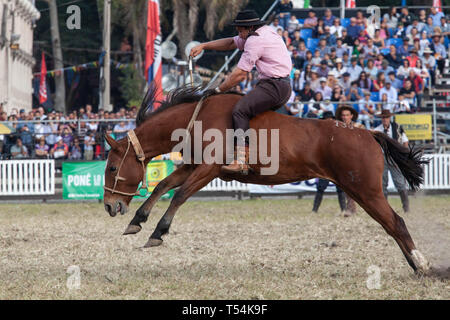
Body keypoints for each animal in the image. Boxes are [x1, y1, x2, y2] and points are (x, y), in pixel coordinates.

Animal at [103, 85, 430, 276]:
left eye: (112, 167)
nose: (108, 205)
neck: (195, 119)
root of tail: (368, 133)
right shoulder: (193, 166)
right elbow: (163, 186)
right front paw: (137, 221)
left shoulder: (209, 169)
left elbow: (181, 195)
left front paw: (158, 232)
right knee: (392, 225)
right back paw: (416, 265)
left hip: (367, 191)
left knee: (396, 223)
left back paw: (423, 264)